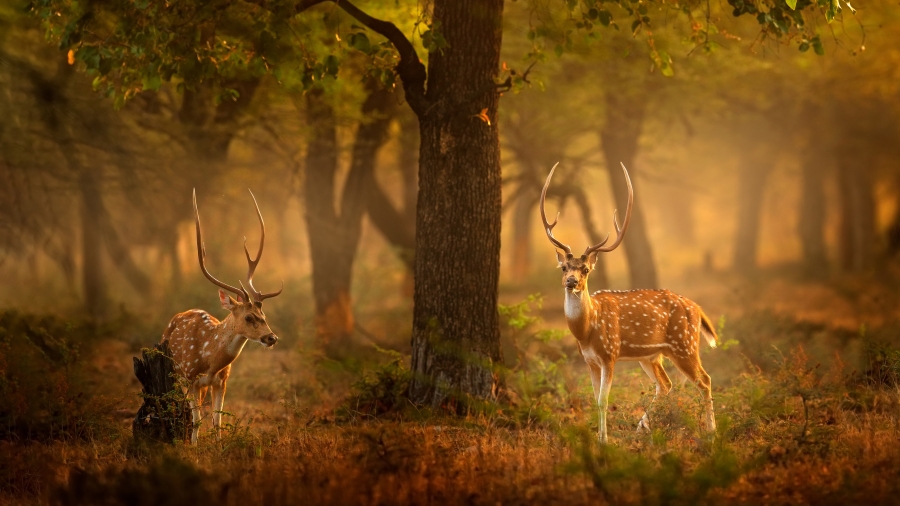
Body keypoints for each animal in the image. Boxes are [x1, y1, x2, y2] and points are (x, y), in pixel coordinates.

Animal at [160, 189, 283, 444]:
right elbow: (196, 420)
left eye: (263, 313)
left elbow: (217, 421)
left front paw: (218, 448)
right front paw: (193, 449)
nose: (272, 338)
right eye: (248, 317)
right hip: (173, 373)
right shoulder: (190, 377)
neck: (210, 360)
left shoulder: (222, 381)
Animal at [540, 162, 718, 444]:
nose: (571, 281)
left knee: (705, 379)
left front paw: (603, 441)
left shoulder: (609, 354)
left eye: (586, 269)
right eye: (564, 267)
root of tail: (697, 308)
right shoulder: (589, 360)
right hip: (652, 355)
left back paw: (711, 430)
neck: (587, 330)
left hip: (685, 344)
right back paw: (642, 427)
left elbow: (603, 400)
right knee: (666, 384)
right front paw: (601, 436)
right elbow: (595, 399)